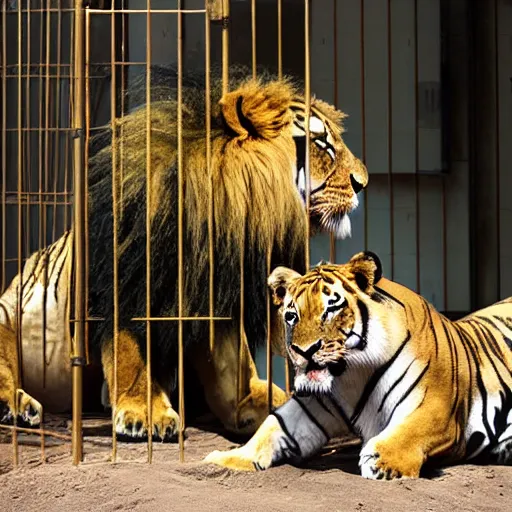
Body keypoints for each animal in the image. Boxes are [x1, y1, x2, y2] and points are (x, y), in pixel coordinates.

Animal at [0, 65, 368, 440]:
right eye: (320, 144)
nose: (362, 183)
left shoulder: (216, 297)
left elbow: (233, 364)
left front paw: (255, 402)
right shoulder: (130, 286)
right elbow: (130, 350)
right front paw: (146, 411)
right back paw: (17, 405)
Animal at [205, 252, 512, 480]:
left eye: (331, 309)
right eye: (292, 315)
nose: (304, 352)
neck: (351, 376)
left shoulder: (435, 408)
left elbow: (408, 432)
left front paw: (380, 461)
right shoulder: (313, 405)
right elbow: (270, 427)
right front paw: (224, 459)